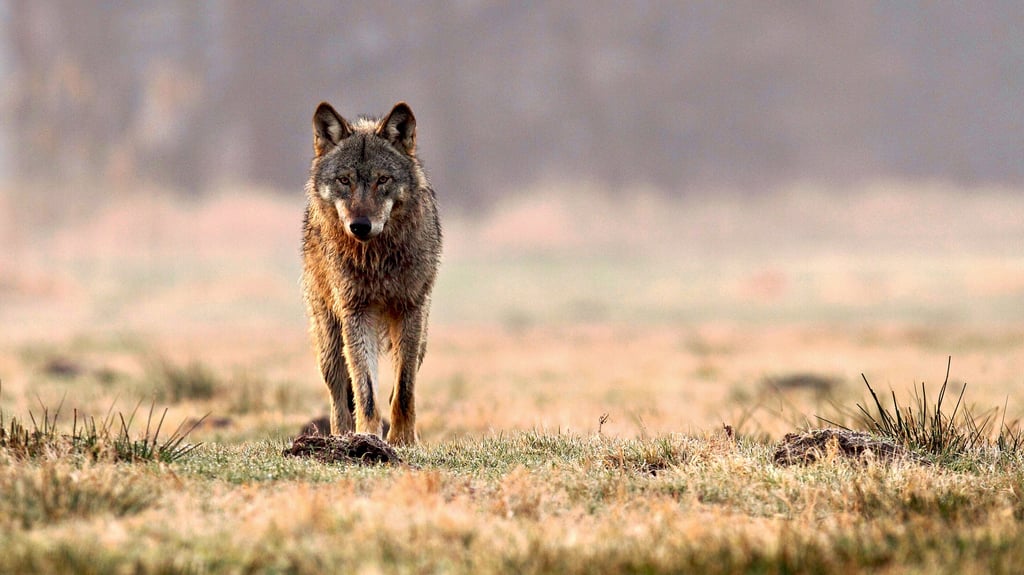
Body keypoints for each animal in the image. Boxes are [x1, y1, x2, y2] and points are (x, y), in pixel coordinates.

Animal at [302, 101, 441, 445]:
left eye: (383, 179)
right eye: (344, 180)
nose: (360, 226)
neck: (377, 260)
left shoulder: (411, 310)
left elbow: (403, 390)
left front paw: (403, 440)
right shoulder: (356, 312)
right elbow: (364, 390)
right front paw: (367, 436)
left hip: (422, 339)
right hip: (329, 341)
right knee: (339, 396)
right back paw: (341, 438)